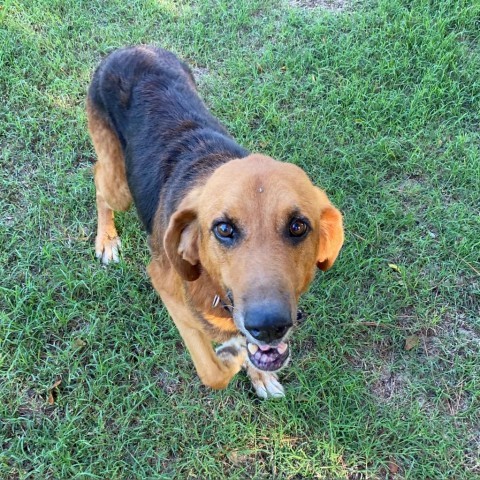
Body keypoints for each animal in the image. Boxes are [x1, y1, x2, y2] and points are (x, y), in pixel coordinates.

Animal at [85, 46, 342, 398]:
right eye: (223, 229)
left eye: (298, 226)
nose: (269, 326)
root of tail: (131, 49)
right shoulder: (167, 289)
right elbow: (213, 372)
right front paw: (234, 356)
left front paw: (257, 372)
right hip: (119, 186)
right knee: (98, 176)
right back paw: (106, 239)